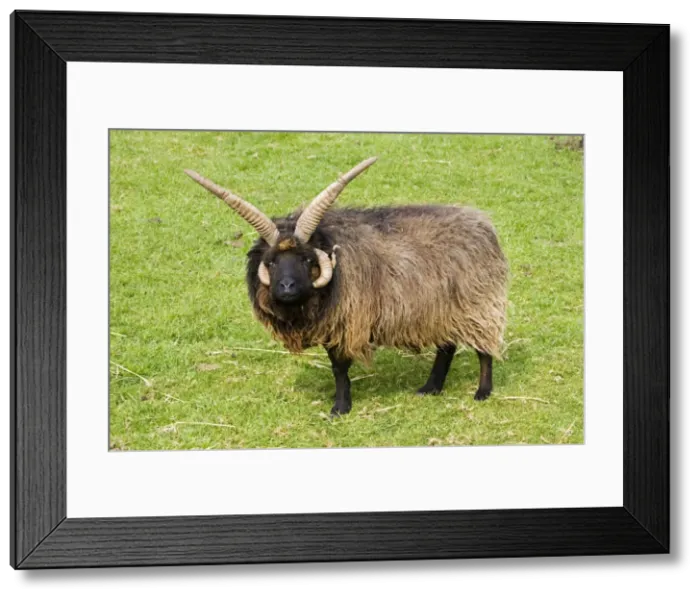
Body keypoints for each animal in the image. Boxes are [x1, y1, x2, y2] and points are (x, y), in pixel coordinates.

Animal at [184, 156, 509, 416]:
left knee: (483, 349)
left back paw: (482, 392)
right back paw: (430, 387)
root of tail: (483, 224)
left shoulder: (347, 321)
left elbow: (340, 368)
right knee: (447, 345)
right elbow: (335, 367)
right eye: (272, 261)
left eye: (306, 259)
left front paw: (340, 408)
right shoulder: (332, 324)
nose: (286, 288)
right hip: (441, 308)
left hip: (476, 303)